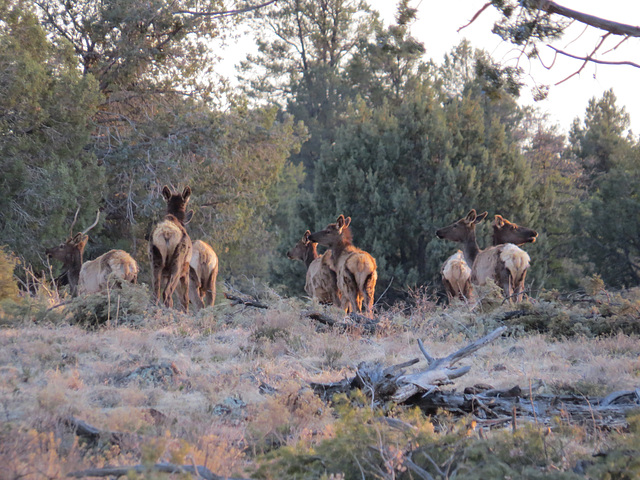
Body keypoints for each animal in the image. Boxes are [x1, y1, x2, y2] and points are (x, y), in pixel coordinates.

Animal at [149, 184, 192, 312]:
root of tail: (166, 234)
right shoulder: (186, 269)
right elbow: (185, 299)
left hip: (155, 261)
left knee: (156, 293)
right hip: (177, 265)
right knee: (167, 294)